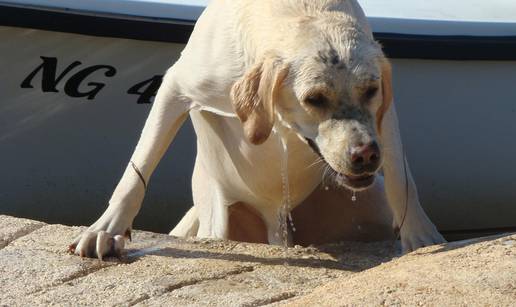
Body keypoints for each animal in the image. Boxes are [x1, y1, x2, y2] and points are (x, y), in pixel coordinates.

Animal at [70, 0, 446, 260]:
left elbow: (401, 178)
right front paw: (108, 228)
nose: (366, 154)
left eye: (370, 90)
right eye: (314, 98)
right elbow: (139, 167)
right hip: (218, 219)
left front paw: (420, 235)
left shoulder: (386, 111)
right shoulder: (176, 87)